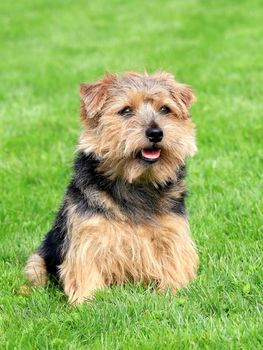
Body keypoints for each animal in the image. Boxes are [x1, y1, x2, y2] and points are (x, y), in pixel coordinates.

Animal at [24, 71, 199, 304]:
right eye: (126, 110)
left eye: (165, 109)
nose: (155, 133)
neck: (136, 182)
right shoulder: (88, 234)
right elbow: (85, 269)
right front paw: (87, 302)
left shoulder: (172, 232)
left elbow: (175, 263)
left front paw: (173, 291)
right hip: (38, 258)